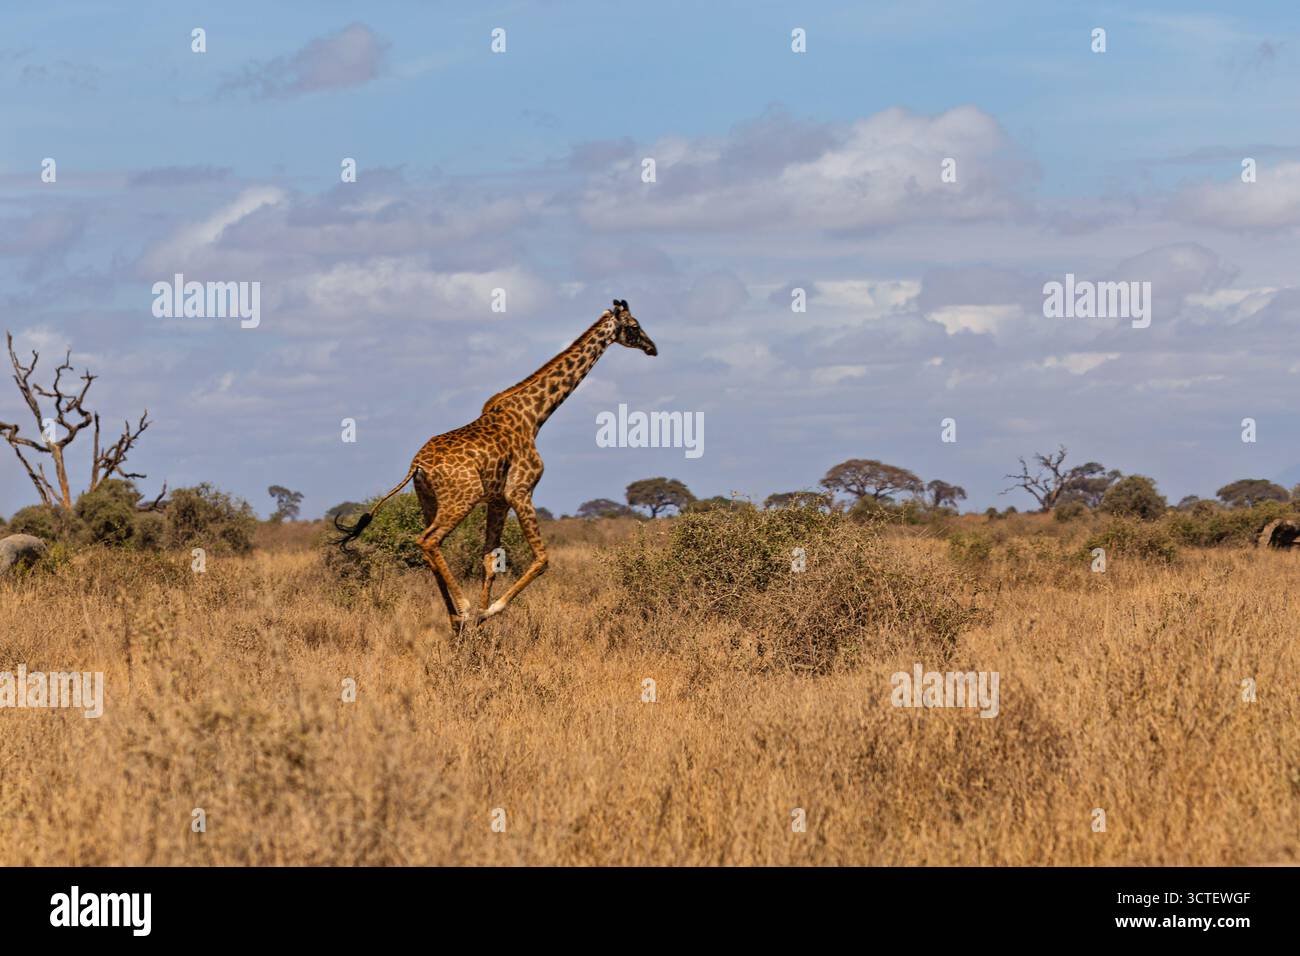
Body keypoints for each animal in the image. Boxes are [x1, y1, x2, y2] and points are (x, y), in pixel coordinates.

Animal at [336, 299, 657, 629]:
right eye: (634, 326)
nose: (652, 348)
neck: (534, 416)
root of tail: (417, 466)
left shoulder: (498, 500)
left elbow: (489, 561)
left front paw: (479, 621)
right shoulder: (520, 490)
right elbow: (542, 559)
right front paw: (486, 611)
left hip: (428, 500)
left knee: (429, 549)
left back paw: (455, 617)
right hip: (462, 498)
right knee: (428, 540)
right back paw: (462, 609)